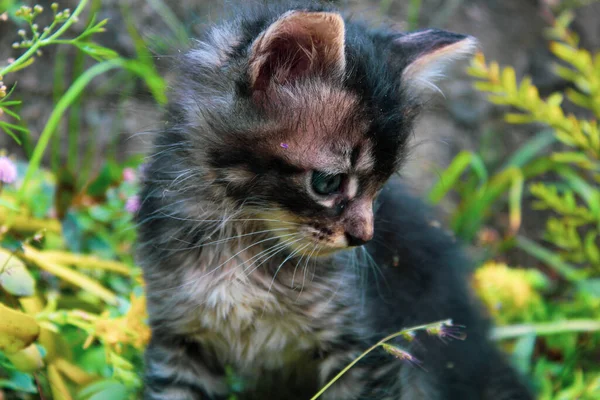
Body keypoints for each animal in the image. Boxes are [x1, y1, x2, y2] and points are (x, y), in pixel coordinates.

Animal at [137, 1, 536, 398]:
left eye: (381, 185)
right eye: (328, 182)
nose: (363, 238)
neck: (242, 238)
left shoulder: (366, 346)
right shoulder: (179, 339)